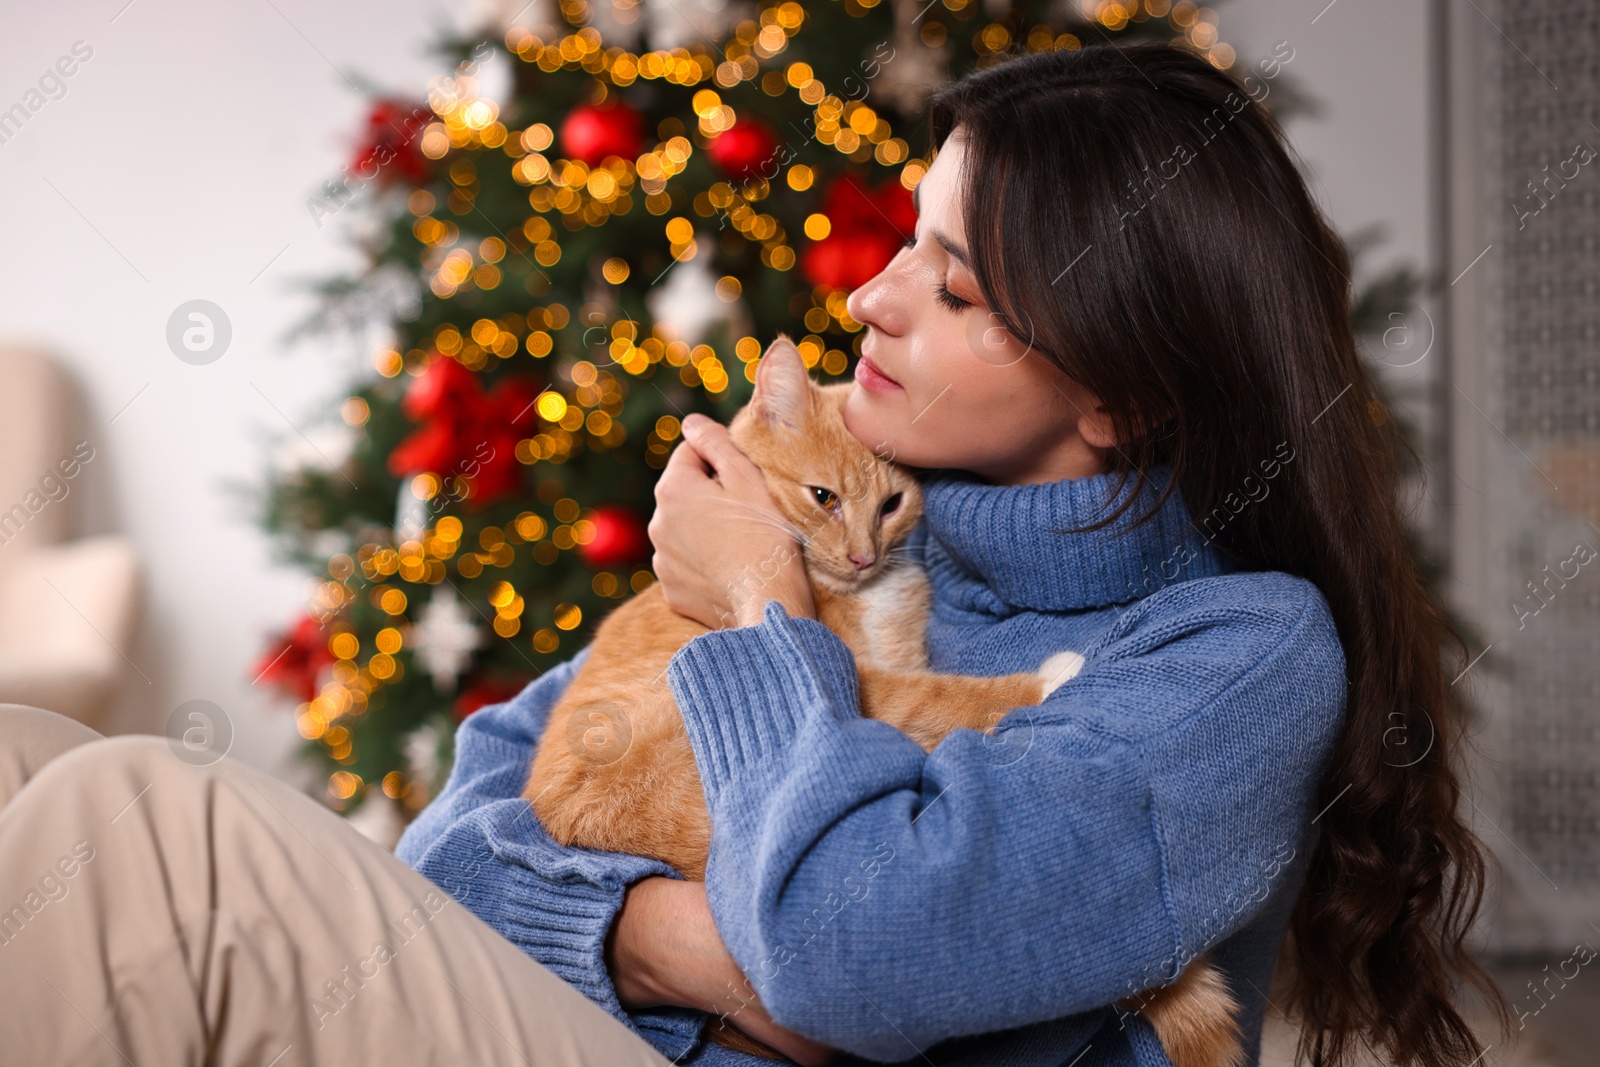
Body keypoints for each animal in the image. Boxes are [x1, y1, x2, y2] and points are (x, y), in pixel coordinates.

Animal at [524, 335, 1248, 1067]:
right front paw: (1047, 678)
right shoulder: (869, 684)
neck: (865, 597)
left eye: (892, 504)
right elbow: (934, 696)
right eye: (824, 497)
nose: (863, 556)